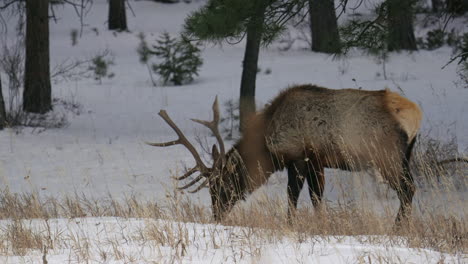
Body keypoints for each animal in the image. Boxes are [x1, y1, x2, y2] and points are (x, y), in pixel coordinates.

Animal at [148, 84, 422, 225]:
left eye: (222, 184)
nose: (216, 216)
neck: (268, 147)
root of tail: (415, 114)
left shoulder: (300, 156)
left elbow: (296, 196)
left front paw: (293, 225)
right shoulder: (314, 161)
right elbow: (311, 197)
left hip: (386, 155)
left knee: (407, 189)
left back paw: (398, 228)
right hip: (405, 155)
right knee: (408, 189)